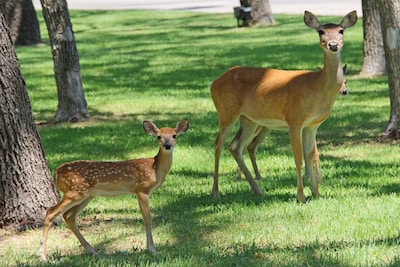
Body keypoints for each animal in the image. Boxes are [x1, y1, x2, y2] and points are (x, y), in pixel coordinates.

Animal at [38, 120, 188, 262]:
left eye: (174, 135)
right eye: (159, 136)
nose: (167, 145)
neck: (154, 168)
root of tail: (56, 173)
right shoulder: (142, 190)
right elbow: (147, 219)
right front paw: (152, 250)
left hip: (87, 195)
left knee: (69, 216)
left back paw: (92, 251)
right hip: (75, 191)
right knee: (51, 212)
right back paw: (43, 256)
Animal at [211, 10, 358, 203]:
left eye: (341, 31)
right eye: (321, 31)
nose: (333, 45)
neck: (317, 86)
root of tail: (213, 83)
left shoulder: (312, 125)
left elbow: (310, 155)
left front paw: (316, 194)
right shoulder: (294, 119)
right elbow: (298, 157)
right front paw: (301, 196)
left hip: (249, 119)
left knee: (235, 147)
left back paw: (257, 190)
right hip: (226, 111)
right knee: (218, 144)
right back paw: (215, 191)